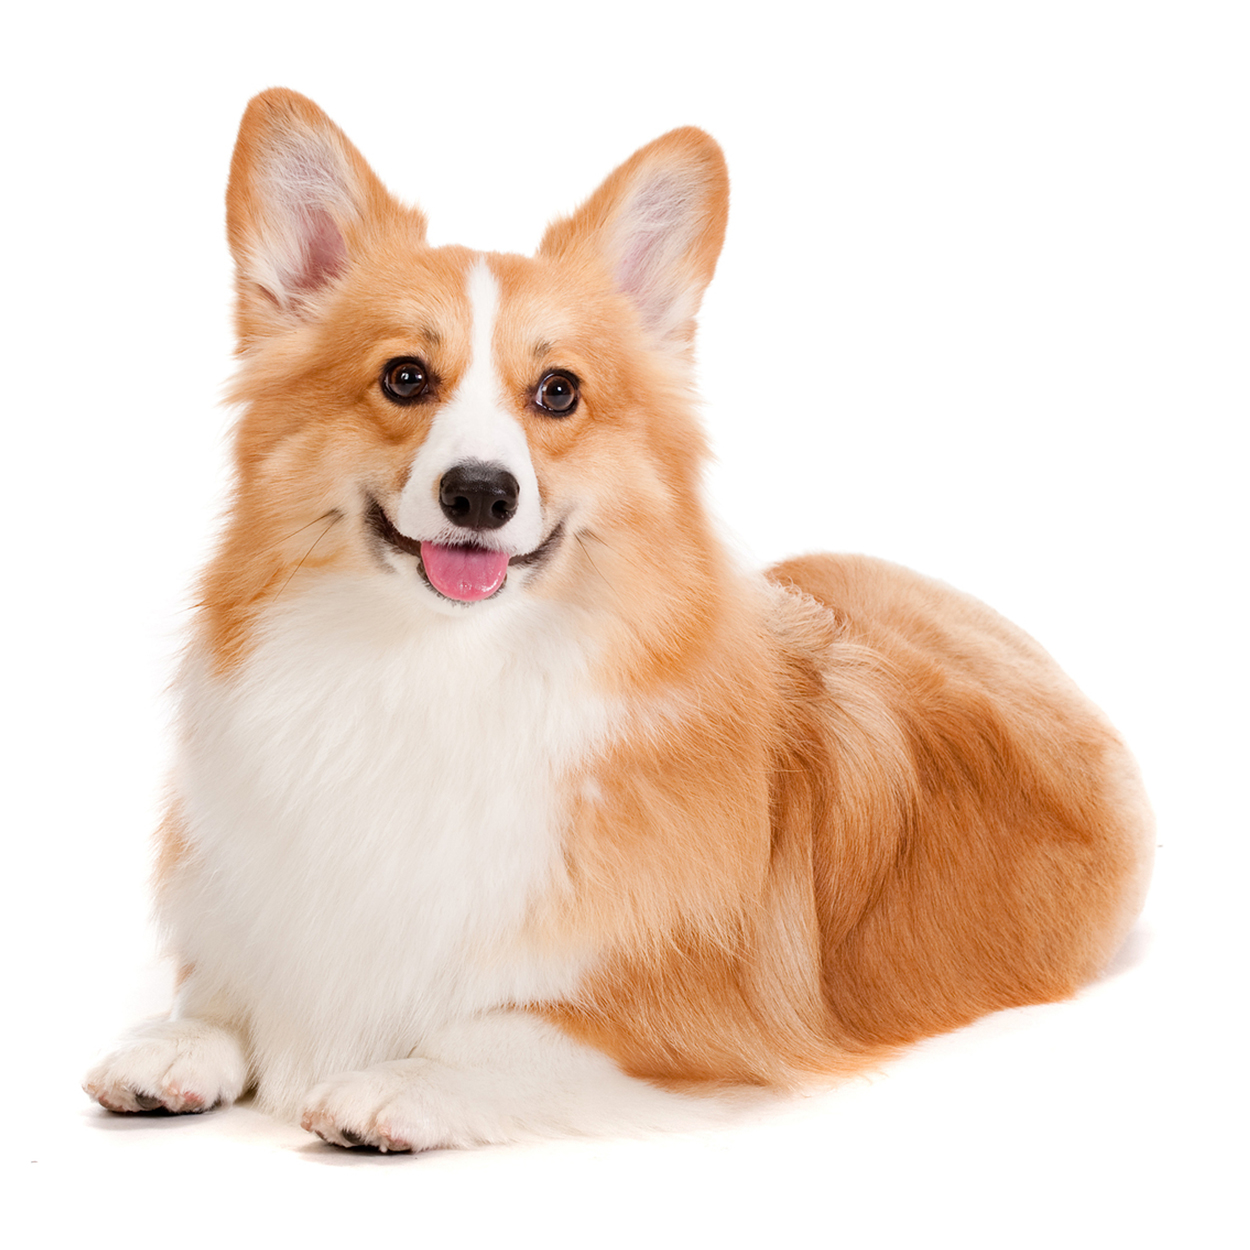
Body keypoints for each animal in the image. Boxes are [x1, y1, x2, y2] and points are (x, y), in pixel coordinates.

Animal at [80, 90, 1150, 1150]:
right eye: (405, 377)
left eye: (559, 391)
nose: (481, 494)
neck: (440, 669)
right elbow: (221, 994)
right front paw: (173, 1046)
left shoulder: (691, 1025)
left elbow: (497, 1027)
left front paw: (396, 1086)